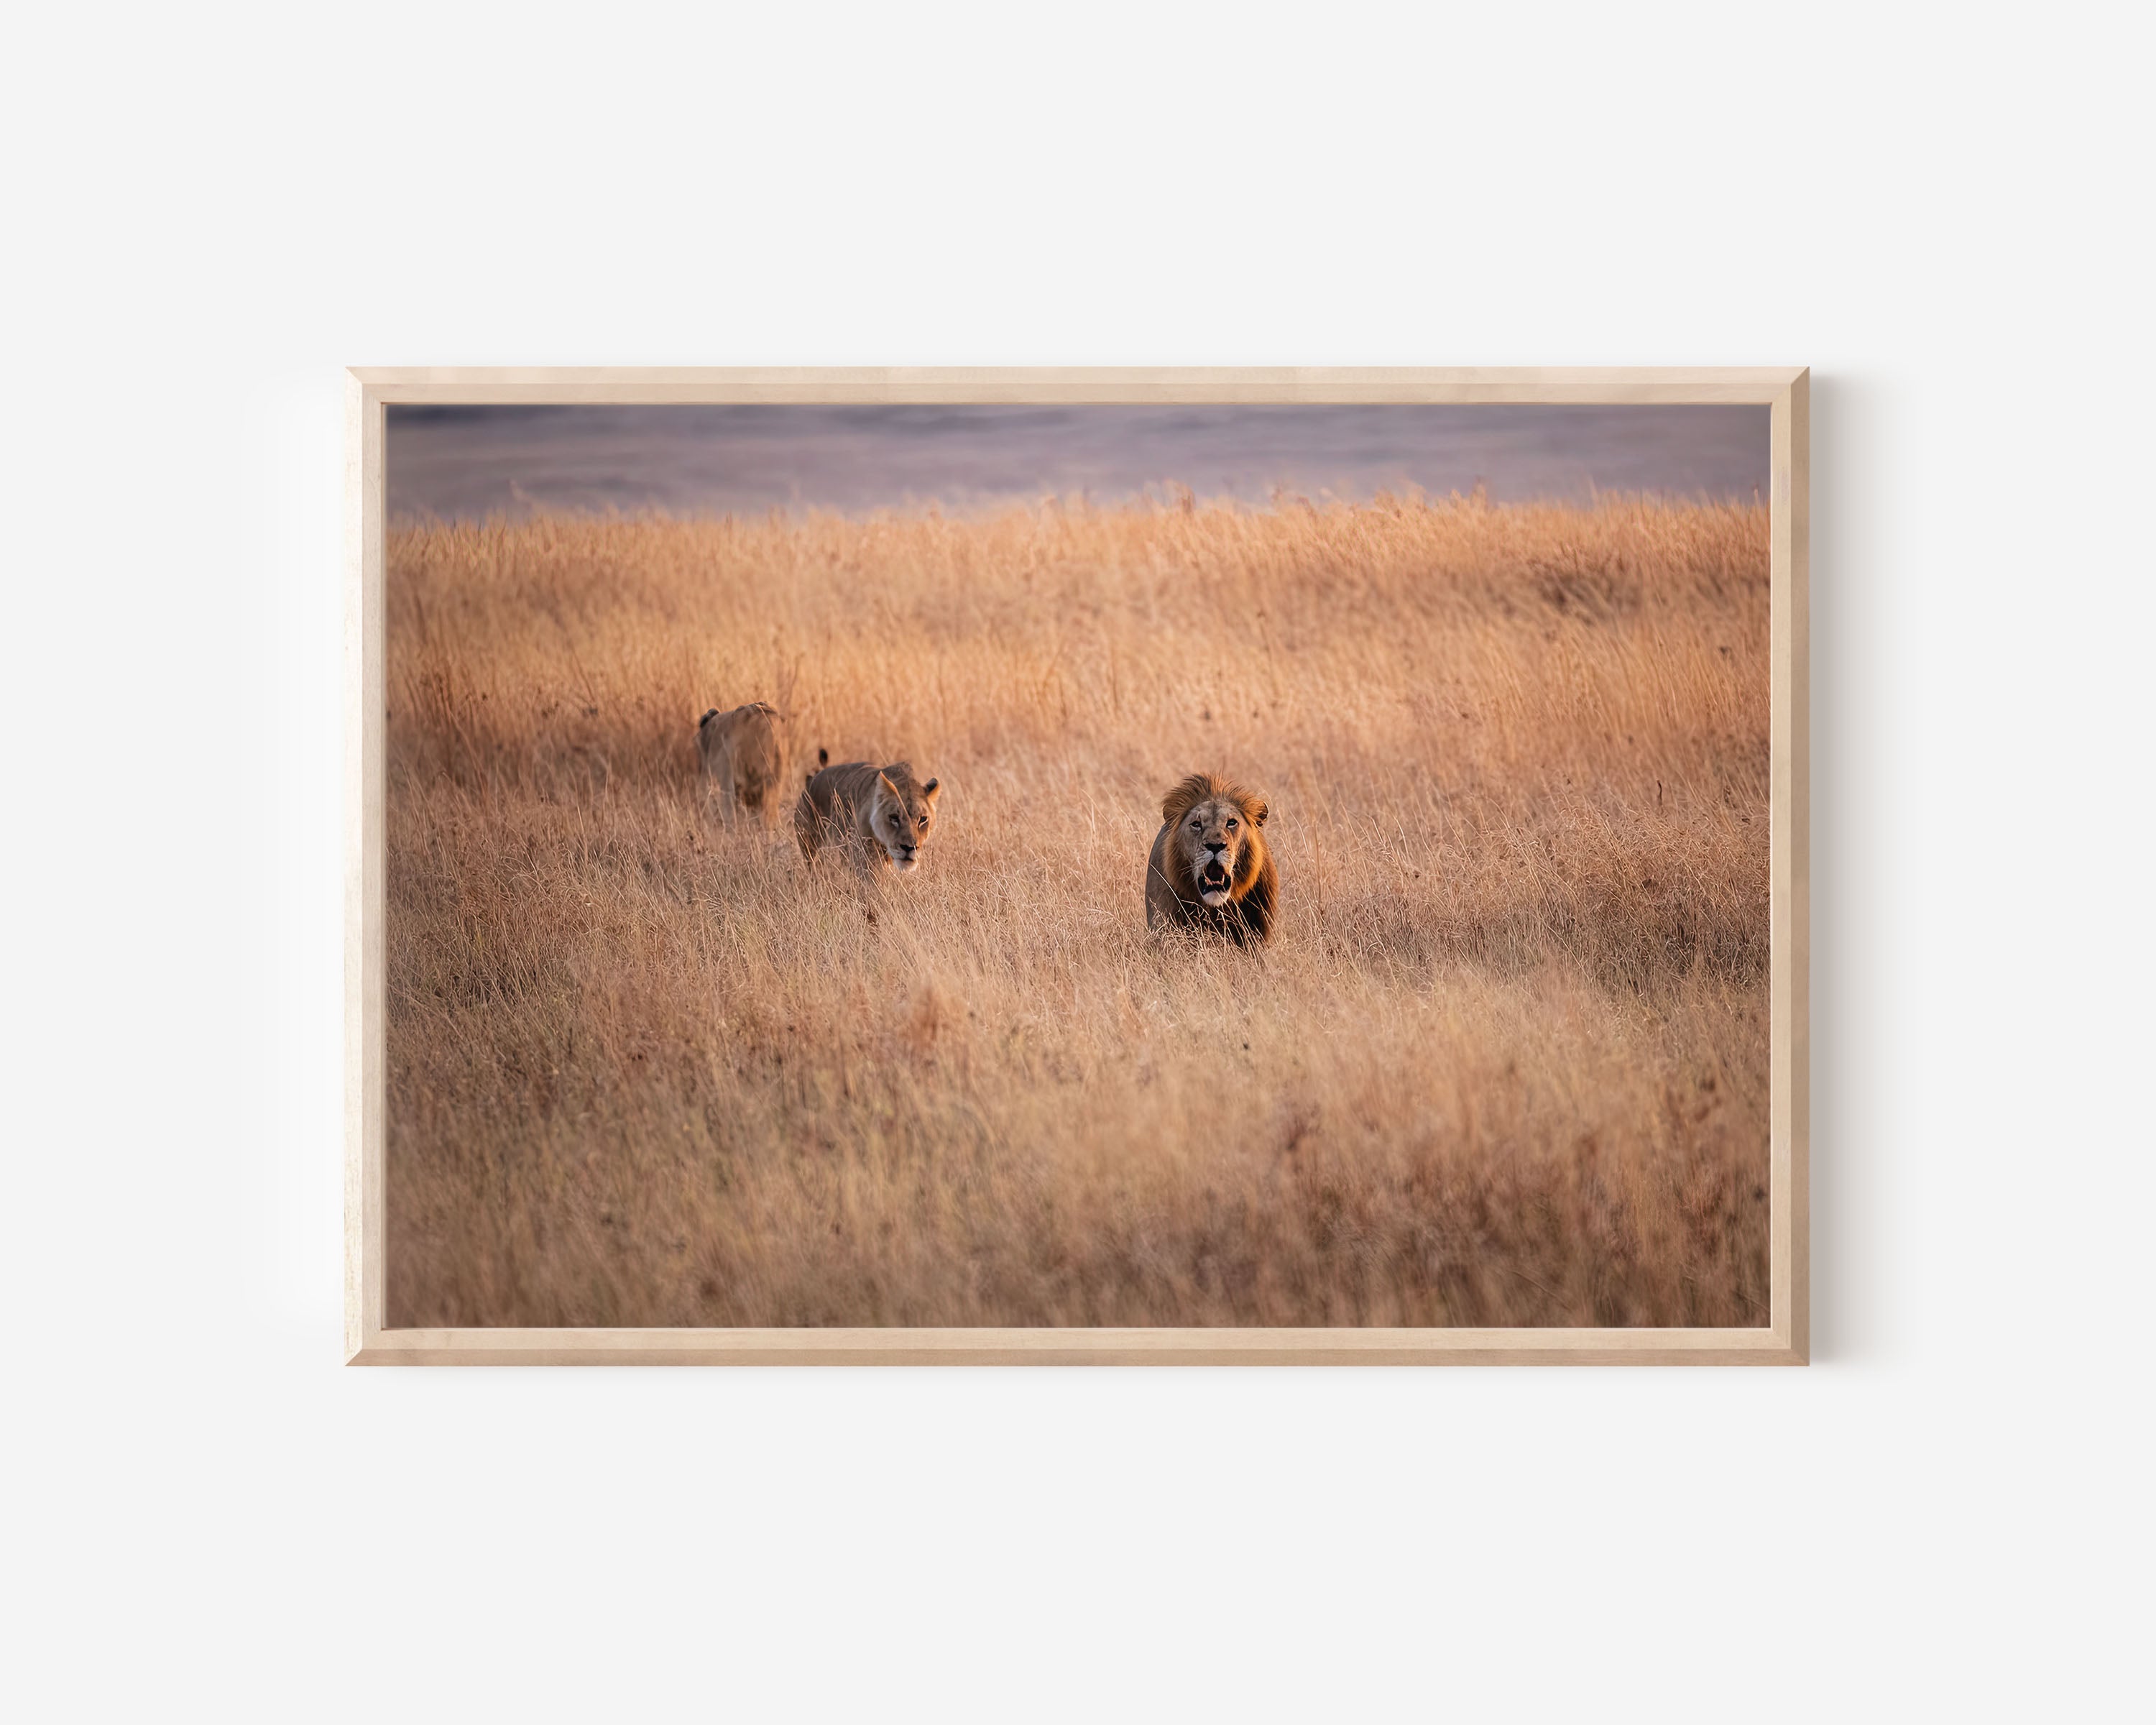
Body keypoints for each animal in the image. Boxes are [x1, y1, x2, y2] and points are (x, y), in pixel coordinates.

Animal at [795, 749, 943, 875]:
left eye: (923, 819)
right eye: (894, 818)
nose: (909, 848)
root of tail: (813, 779)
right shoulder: (862, 854)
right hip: (810, 842)